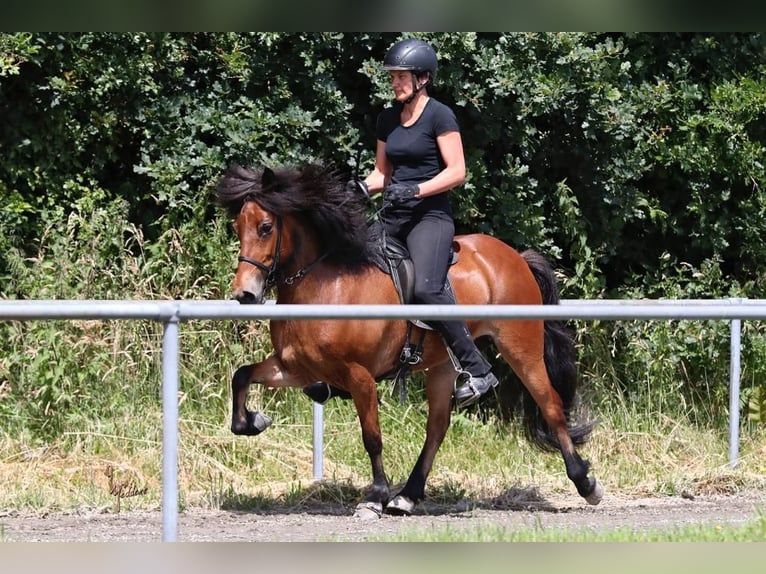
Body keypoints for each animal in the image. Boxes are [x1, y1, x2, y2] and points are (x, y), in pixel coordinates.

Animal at [216, 163, 608, 520]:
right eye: (237, 227)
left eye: (265, 227)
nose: (244, 294)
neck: (327, 286)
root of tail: (515, 256)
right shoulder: (295, 368)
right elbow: (241, 375)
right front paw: (253, 421)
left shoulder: (359, 375)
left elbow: (371, 436)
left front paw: (374, 497)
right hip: (444, 364)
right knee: (438, 426)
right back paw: (407, 495)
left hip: (520, 347)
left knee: (551, 406)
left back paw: (586, 484)